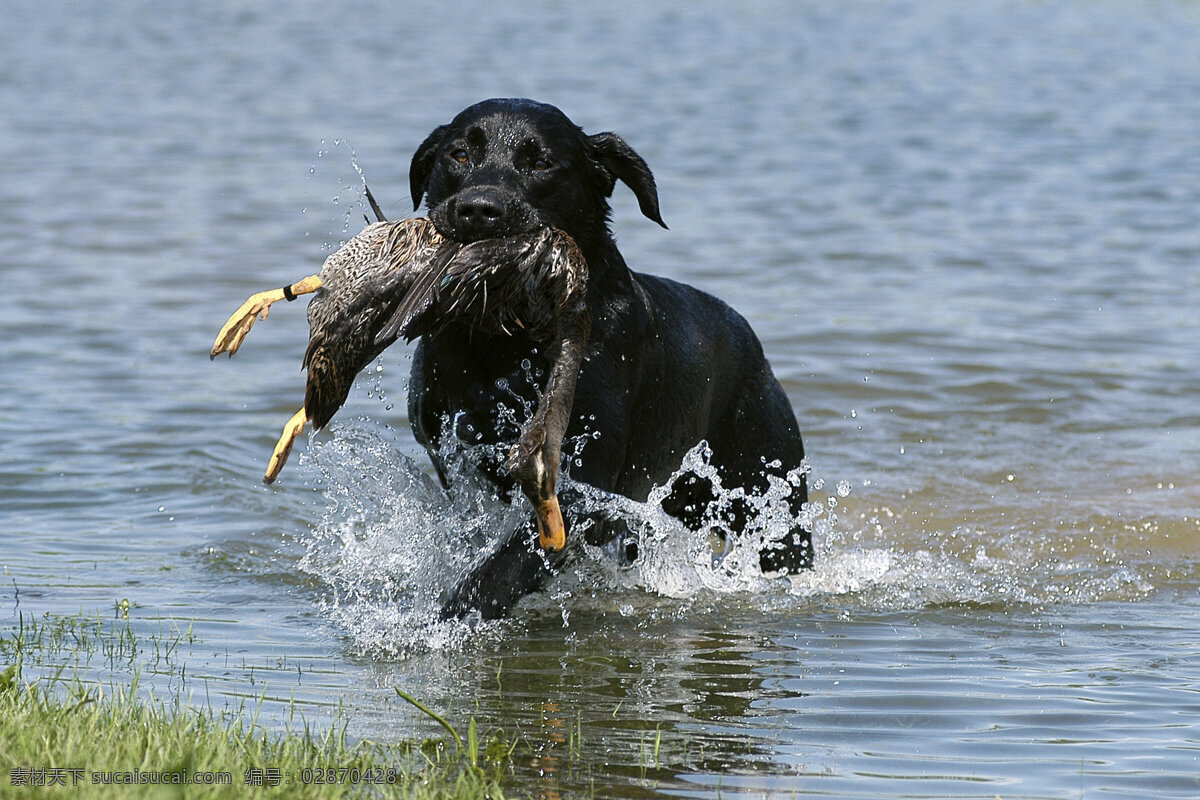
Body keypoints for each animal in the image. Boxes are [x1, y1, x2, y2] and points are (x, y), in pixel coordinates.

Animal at [405, 97, 816, 618]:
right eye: (458, 154)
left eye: (541, 163)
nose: (480, 209)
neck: (506, 343)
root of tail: (752, 344)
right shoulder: (453, 459)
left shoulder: (586, 477)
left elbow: (516, 558)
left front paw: (454, 613)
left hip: (769, 492)